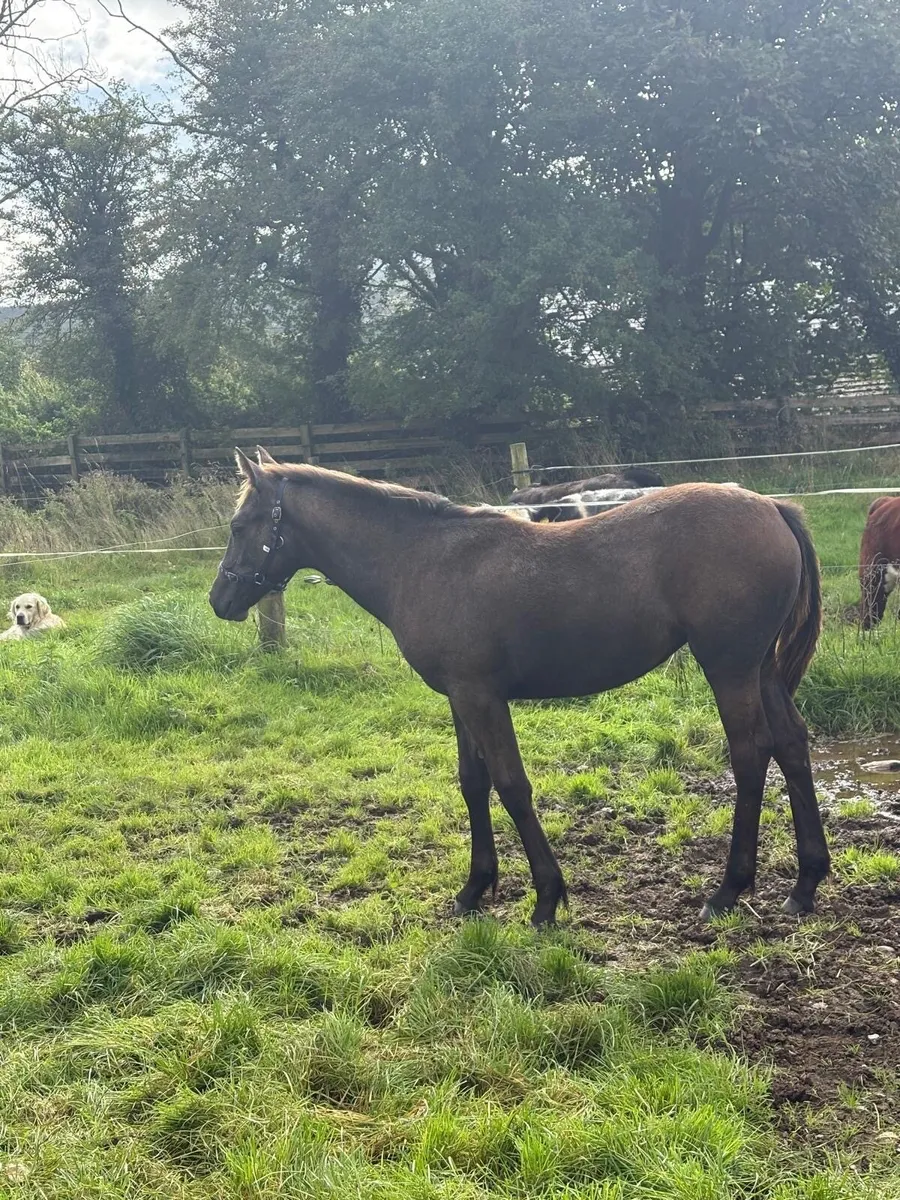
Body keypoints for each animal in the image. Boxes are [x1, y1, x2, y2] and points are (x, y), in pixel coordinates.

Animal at [210, 449, 828, 927]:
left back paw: (728, 890)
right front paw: (473, 889)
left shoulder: (482, 698)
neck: (422, 560)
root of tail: (770, 506)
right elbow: (472, 783)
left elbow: (511, 785)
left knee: (751, 754)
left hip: (729, 668)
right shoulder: (460, 698)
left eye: (239, 527)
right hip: (762, 670)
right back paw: (805, 885)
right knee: (791, 744)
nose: (221, 600)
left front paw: (547, 898)